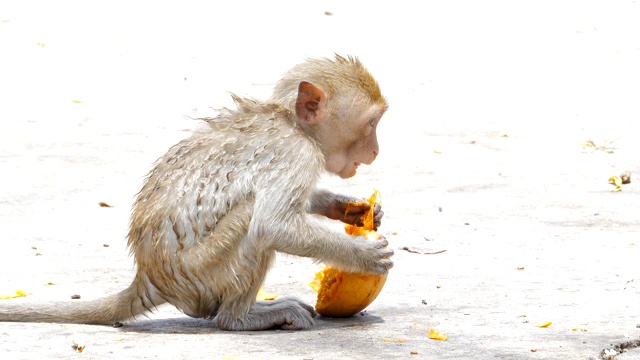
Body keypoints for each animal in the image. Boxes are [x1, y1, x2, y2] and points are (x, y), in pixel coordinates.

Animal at [0, 54, 392, 330]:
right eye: (371, 123)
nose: (375, 151)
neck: (292, 122)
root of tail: (150, 279)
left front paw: (345, 207)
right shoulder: (295, 153)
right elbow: (273, 225)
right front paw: (363, 255)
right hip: (202, 274)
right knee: (250, 220)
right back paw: (241, 318)